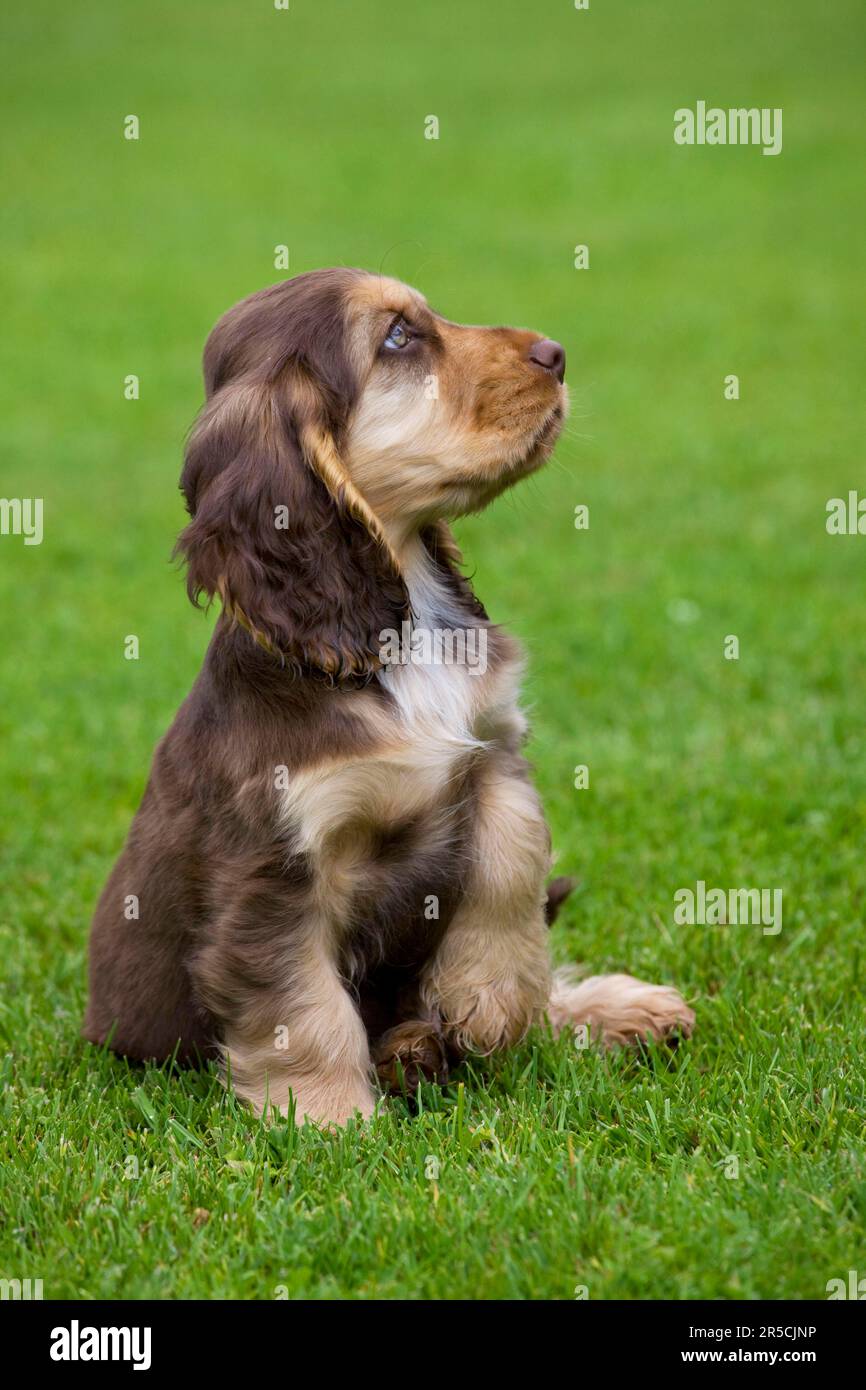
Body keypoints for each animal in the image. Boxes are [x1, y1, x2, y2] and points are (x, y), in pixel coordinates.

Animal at [84, 265, 695, 1123]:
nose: (557, 353)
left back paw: (609, 1011)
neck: (400, 627)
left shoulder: (492, 748)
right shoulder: (273, 867)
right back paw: (412, 1053)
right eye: (398, 338)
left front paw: (489, 998)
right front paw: (326, 1119)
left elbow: (514, 859)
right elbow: (300, 1001)